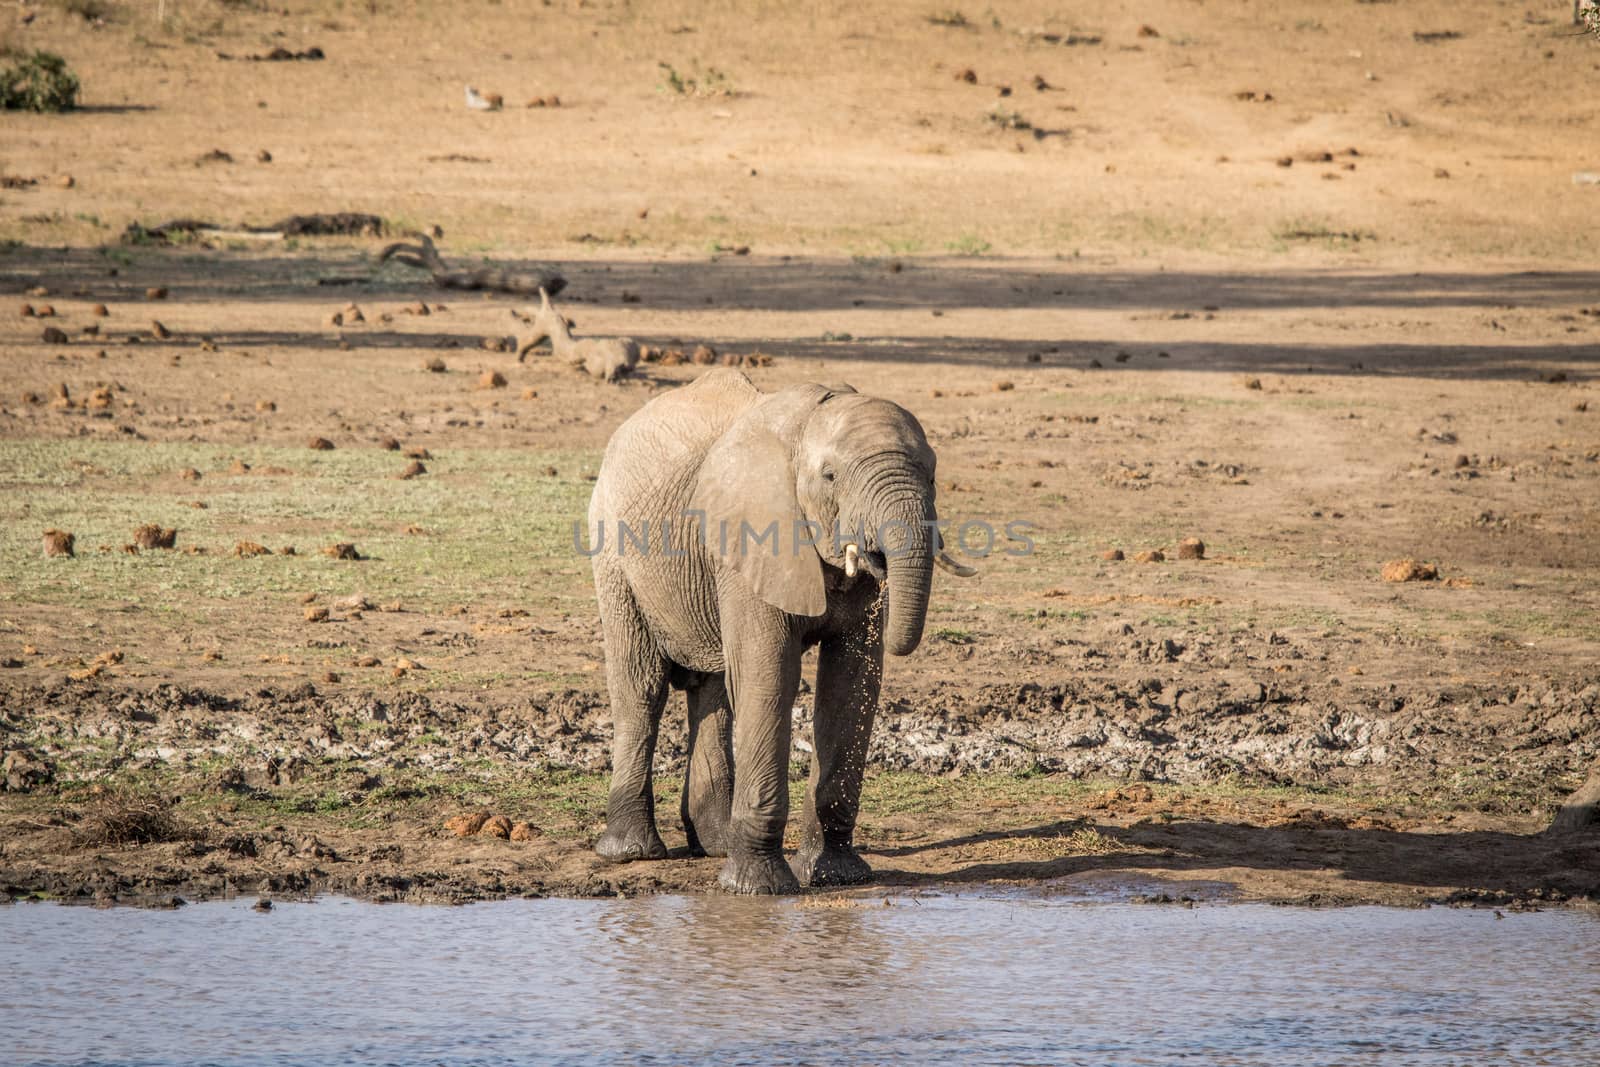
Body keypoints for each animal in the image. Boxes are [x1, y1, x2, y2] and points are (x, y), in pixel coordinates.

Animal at [585, 367, 966, 895]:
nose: (876, 554)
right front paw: (758, 888)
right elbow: (771, 677)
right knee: (642, 689)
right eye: (830, 477)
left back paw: (715, 844)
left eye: (931, 474)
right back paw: (632, 853)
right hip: (614, 555)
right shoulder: (753, 535)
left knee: (714, 690)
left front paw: (837, 877)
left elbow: (850, 684)